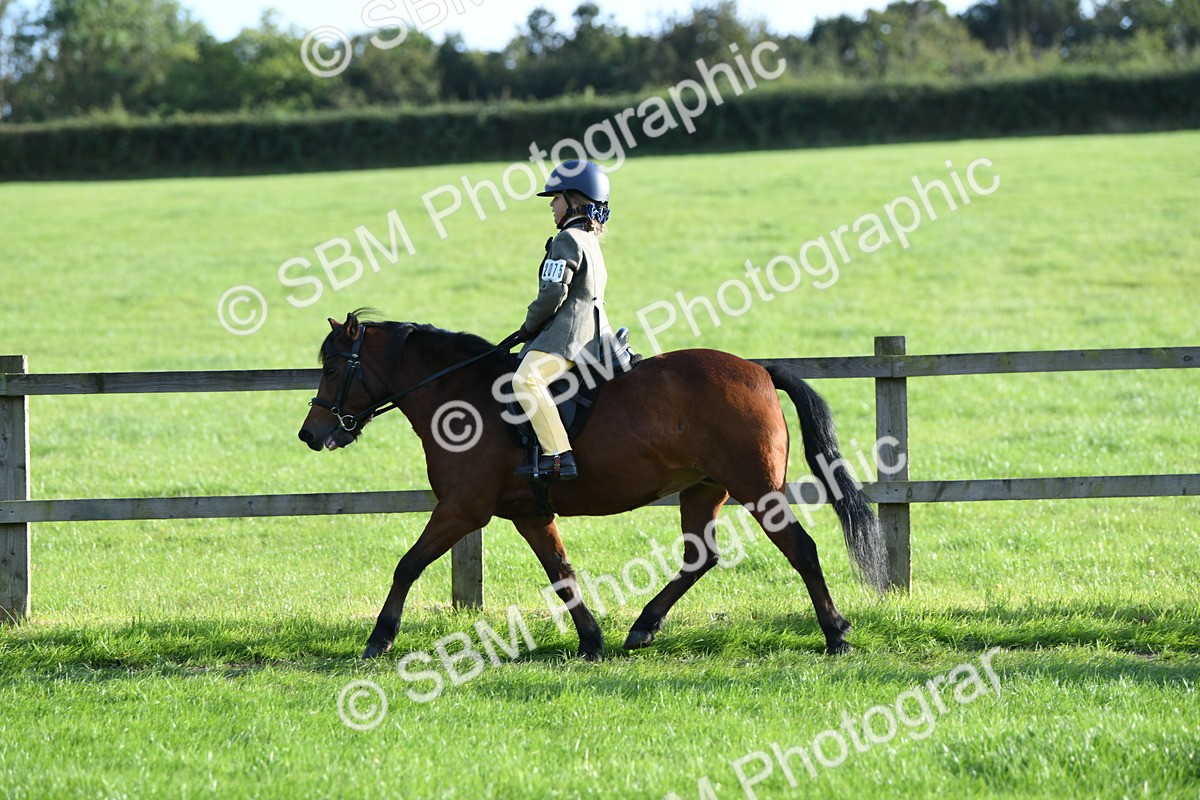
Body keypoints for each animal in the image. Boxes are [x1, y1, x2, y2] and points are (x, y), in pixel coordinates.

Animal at [298, 311, 888, 659]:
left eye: (332, 368)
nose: (310, 434)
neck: (460, 395)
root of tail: (758, 369)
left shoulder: (462, 509)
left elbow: (407, 565)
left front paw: (379, 638)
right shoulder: (529, 513)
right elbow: (562, 573)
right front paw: (591, 640)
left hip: (758, 488)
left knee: (801, 548)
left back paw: (836, 633)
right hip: (703, 488)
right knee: (700, 558)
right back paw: (643, 626)